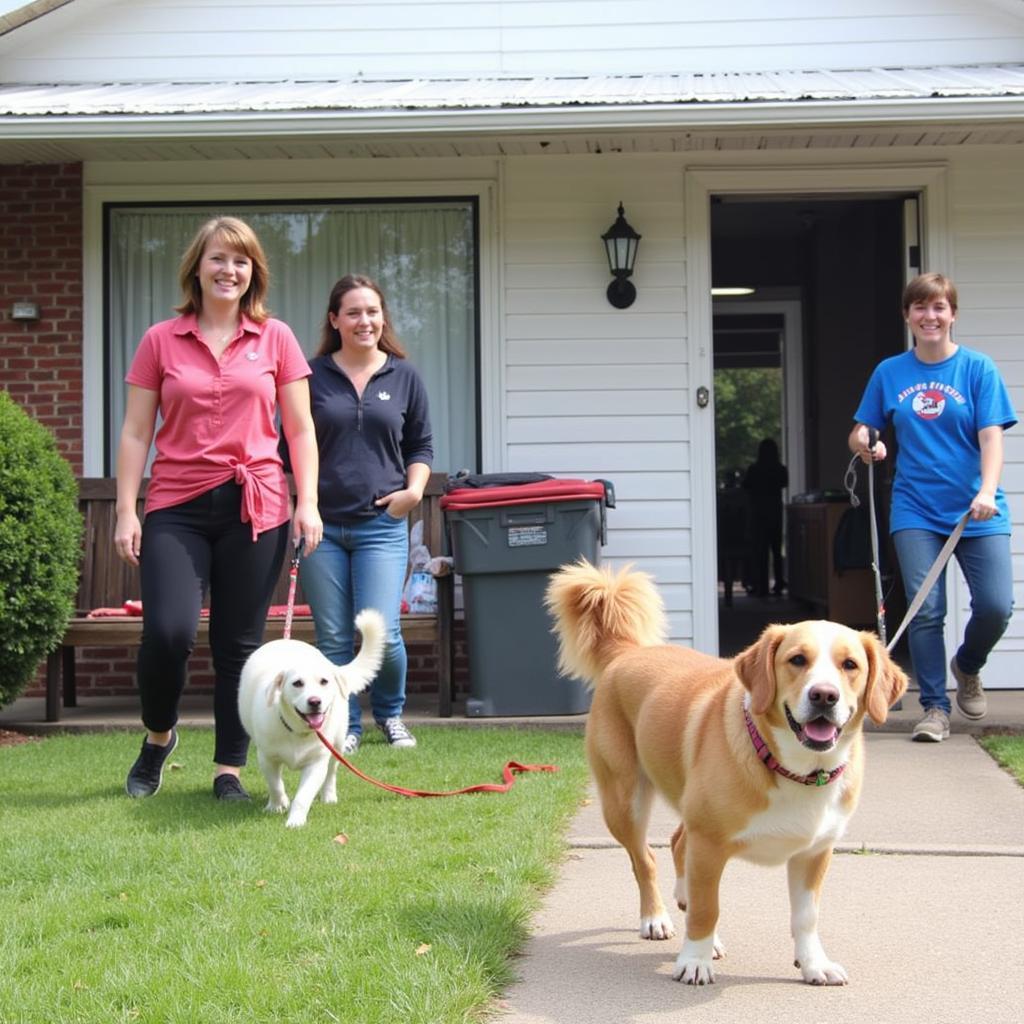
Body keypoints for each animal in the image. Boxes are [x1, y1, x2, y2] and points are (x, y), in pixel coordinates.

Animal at [237, 610, 385, 827]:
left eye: (324, 681)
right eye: (297, 683)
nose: (315, 701)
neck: (298, 732)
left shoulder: (317, 763)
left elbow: (303, 796)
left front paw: (295, 821)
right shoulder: (267, 757)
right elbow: (275, 785)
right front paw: (276, 805)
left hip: (338, 742)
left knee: (332, 772)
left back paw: (329, 796)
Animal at [544, 561, 905, 983]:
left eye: (850, 665)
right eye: (797, 660)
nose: (824, 696)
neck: (795, 770)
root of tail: (628, 652)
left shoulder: (814, 853)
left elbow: (806, 917)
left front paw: (813, 963)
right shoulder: (710, 845)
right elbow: (707, 908)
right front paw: (694, 960)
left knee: (677, 843)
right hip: (624, 801)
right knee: (645, 859)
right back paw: (656, 918)